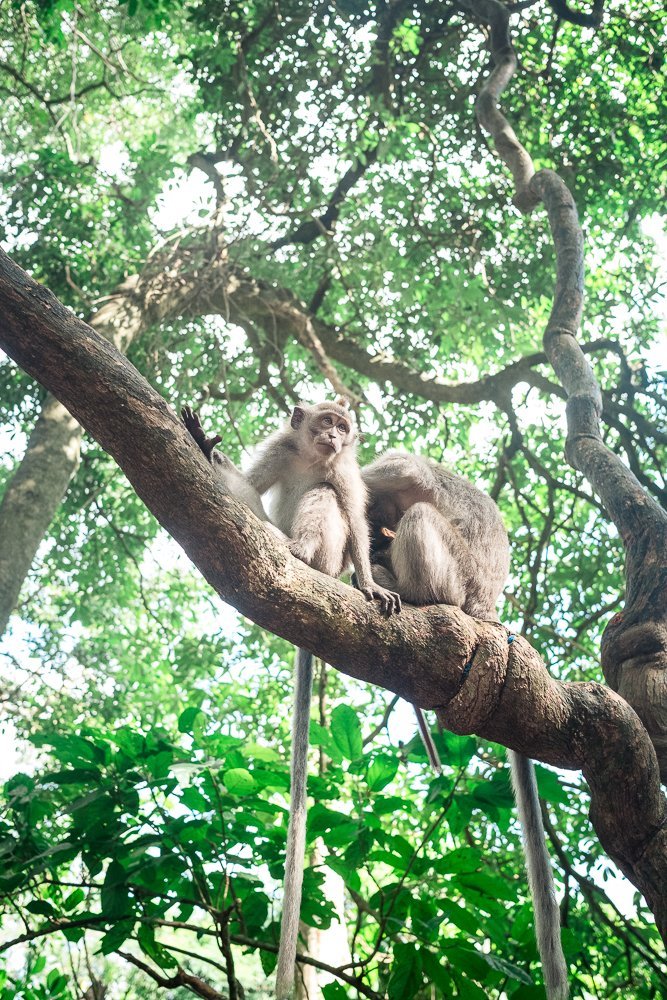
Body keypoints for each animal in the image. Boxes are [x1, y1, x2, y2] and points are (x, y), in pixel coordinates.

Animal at [181, 398, 402, 1000]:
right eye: (325, 423)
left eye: (343, 429)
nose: (334, 435)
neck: (311, 456)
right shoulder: (281, 449)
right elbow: (255, 479)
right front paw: (204, 446)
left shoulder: (347, 472)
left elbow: (354, 519)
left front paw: (369, 584)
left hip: (327, 560)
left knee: (326, 502)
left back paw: (300, 553)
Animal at [360, 454, 568, 1000]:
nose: (378, 536)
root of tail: (483, 607)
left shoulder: (401, 468)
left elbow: (381, 482)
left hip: (456, 577)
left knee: (424, 522)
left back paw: (411, 588)